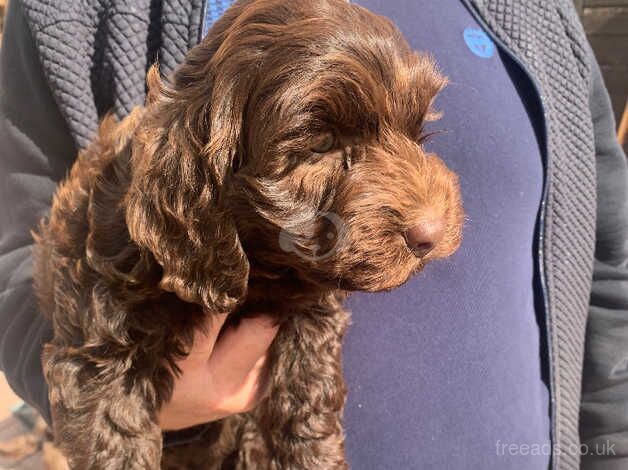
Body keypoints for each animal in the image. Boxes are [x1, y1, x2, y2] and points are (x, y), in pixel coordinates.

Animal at [31, 0, 464, 470]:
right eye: (321, 143)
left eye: (416, 130)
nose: (430, 234)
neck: (257, 263)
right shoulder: (102, 344)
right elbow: (113, 437)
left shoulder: (310, 312)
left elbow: (308, 397)